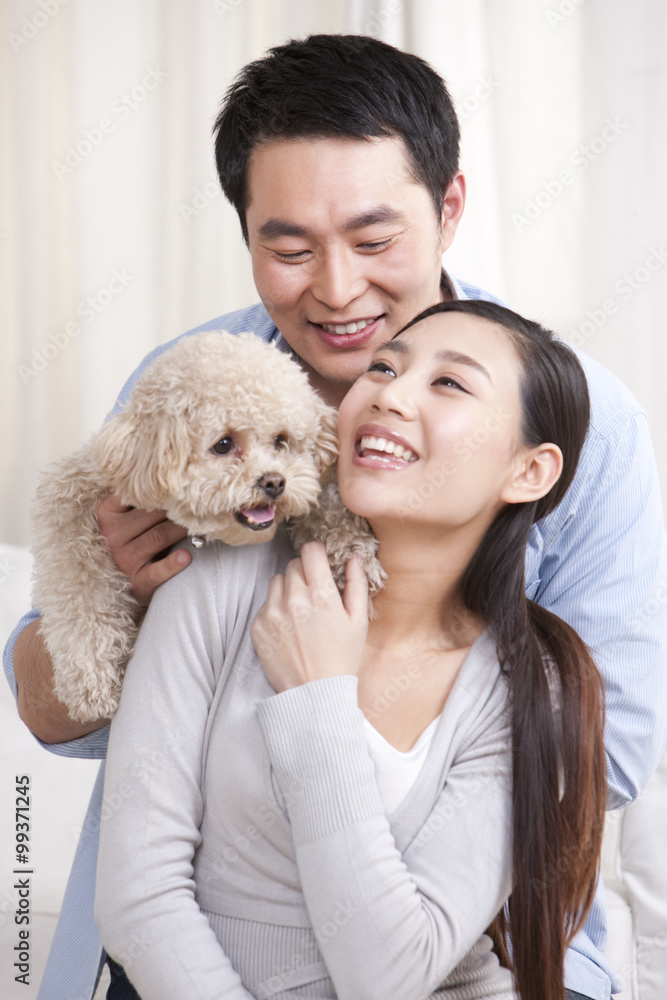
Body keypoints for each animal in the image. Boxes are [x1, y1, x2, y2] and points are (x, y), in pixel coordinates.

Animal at [31, 332, 384, 724]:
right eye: (224, 444)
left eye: (281, 440)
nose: (274, 482)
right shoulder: (69, 498)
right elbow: (79, 586)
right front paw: (91, 679)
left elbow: (323, 507)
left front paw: (352, 554)